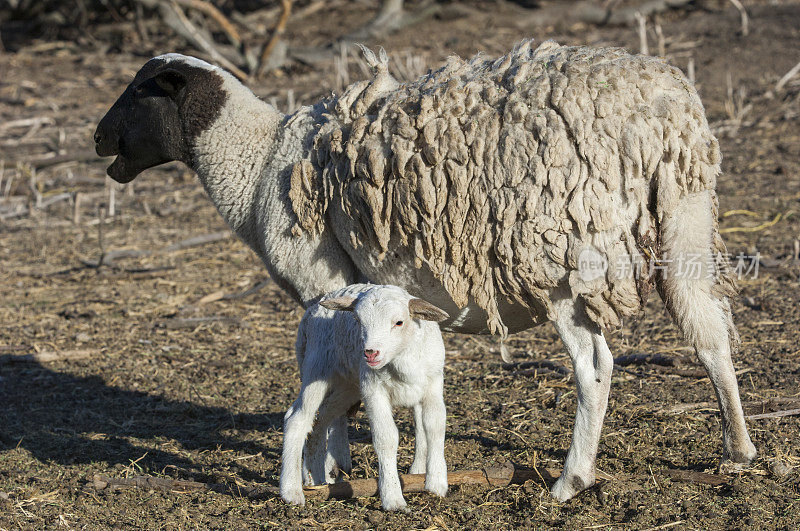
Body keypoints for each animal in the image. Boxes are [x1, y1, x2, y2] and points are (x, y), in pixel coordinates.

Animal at [280, 284, 450, 512]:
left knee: (321, 419)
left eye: (399, 322)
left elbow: (435, 427)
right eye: (358, 320)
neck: (402, 360)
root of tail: (315, 306)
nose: (370, 353)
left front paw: (436, 484)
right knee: (297, 419)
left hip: (348, 384)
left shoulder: (433, 386)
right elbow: (386, 438)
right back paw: (291, 491)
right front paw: (393, 498)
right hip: (316, 367)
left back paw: (317, 480)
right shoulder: (373, 389)